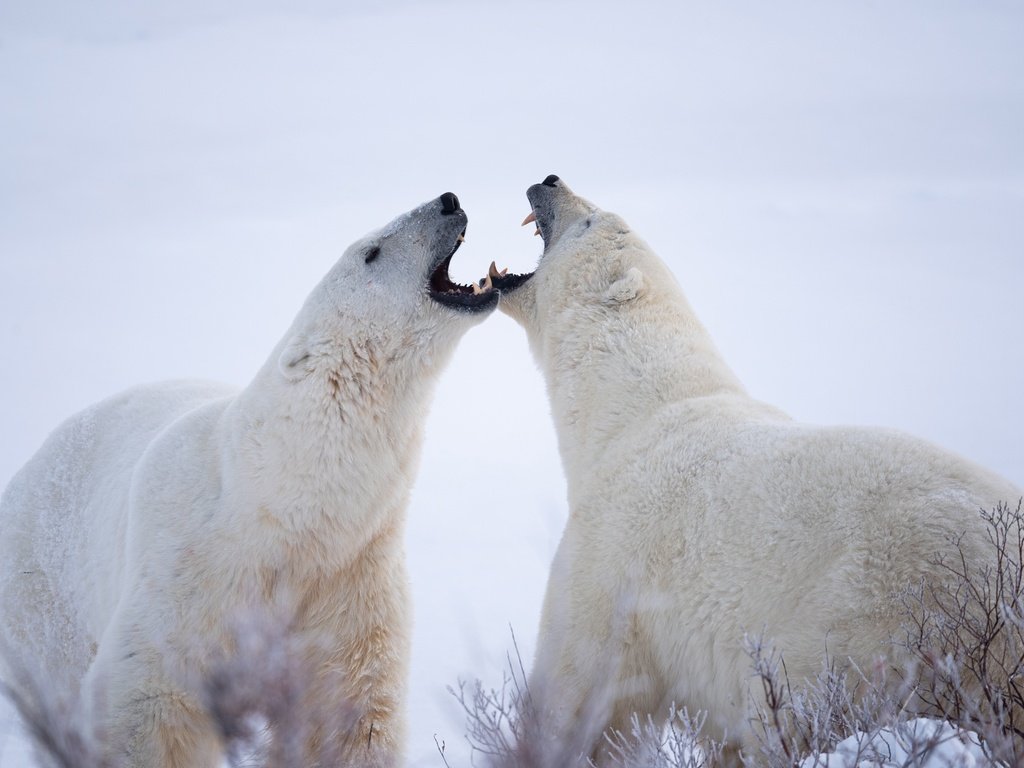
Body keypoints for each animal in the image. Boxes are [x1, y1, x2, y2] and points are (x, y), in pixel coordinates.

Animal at [0, 189, 495, 765]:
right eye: (371, 252)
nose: (448, 199)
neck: (280, 514)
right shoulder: (185, 589)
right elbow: (148, 708)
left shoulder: (350, 583)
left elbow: (343, 718)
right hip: (44, 597)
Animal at [487, 177, 1024, 765]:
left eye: (591, 222)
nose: (550, 180)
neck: (631, 409)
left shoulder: (613, 559)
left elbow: (580, 690)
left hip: (873, 616)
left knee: (792, 709)